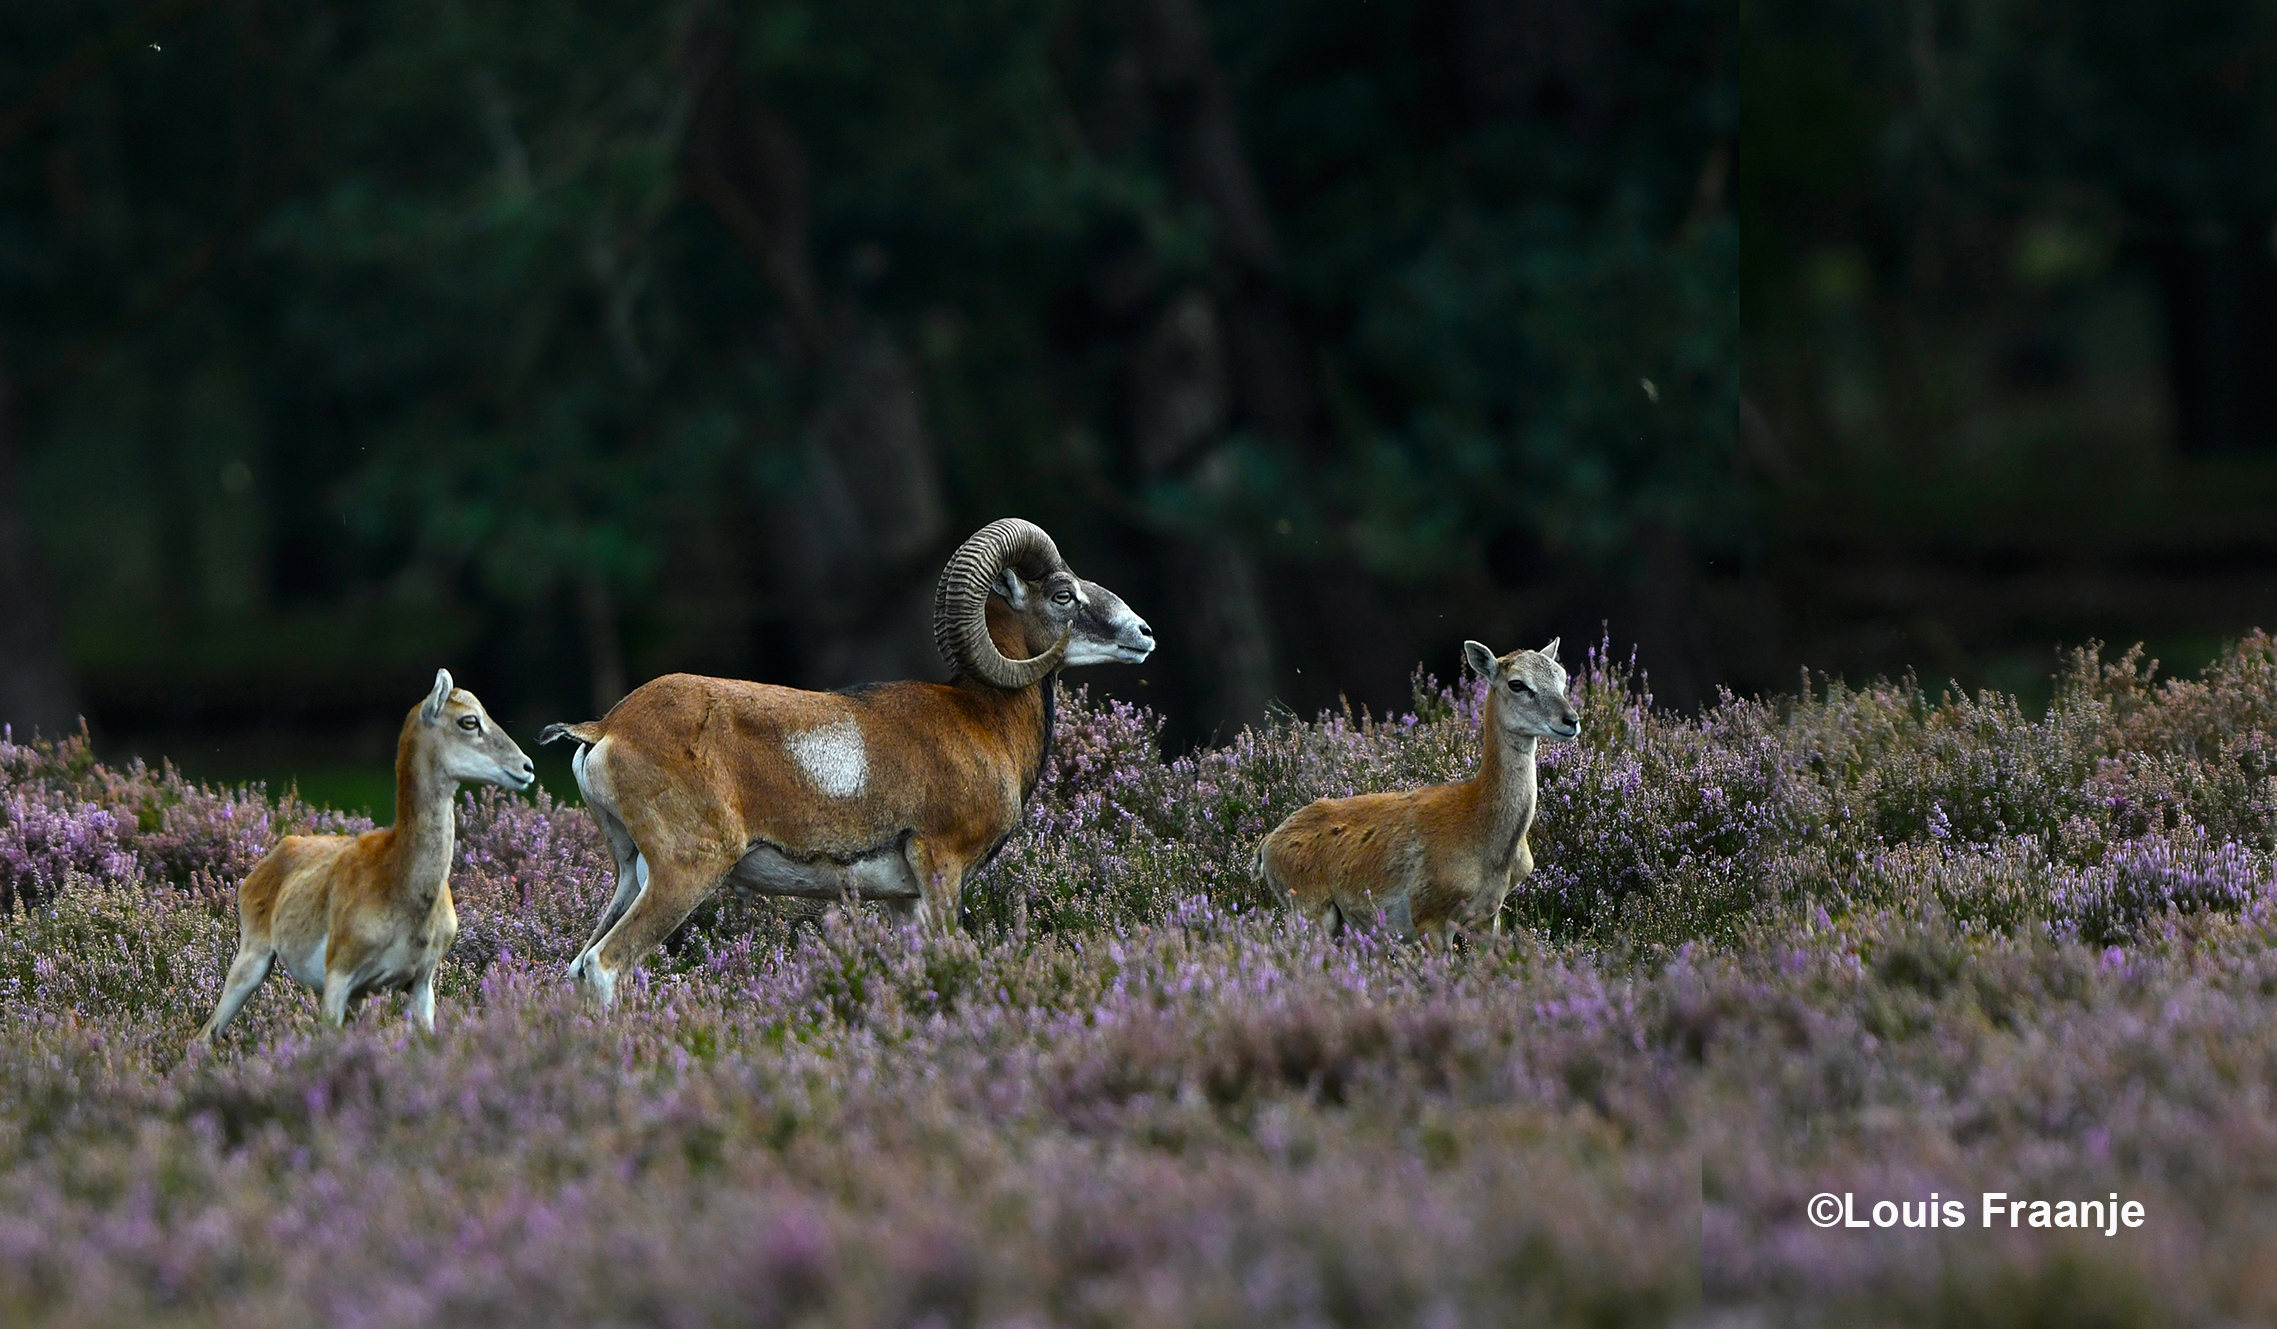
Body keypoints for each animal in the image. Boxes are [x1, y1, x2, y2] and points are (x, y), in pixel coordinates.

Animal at [194, 669, 532, 1042]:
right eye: (469, 720)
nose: (527, 767)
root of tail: (266, 862)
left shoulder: (421, 982)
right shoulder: (339, 978)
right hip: (252, 959)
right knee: (204, 1034)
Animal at [1256, 637, 1575, 937]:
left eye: (1562, 676)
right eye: (1517, 684)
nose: (1571, 720)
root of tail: (1266, 846)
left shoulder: (1488, 916)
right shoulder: (1428, 915)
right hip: (1310, 911)